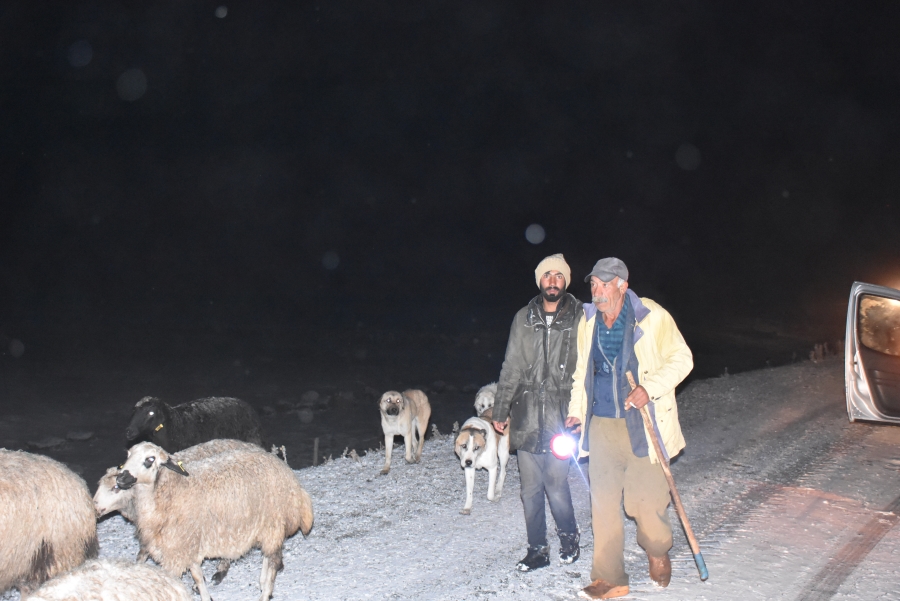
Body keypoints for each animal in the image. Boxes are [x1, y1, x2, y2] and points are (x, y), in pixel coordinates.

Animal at [116, 438, 314, 596]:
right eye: (128, 455)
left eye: (150, 459)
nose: (120, 478)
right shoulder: (188, 545)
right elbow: (198, 577)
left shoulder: (177, 550)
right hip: (267, 527)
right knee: (268, 556)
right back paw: (262, 582)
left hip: (273, 523)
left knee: (272, 563)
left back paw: (265, 590)